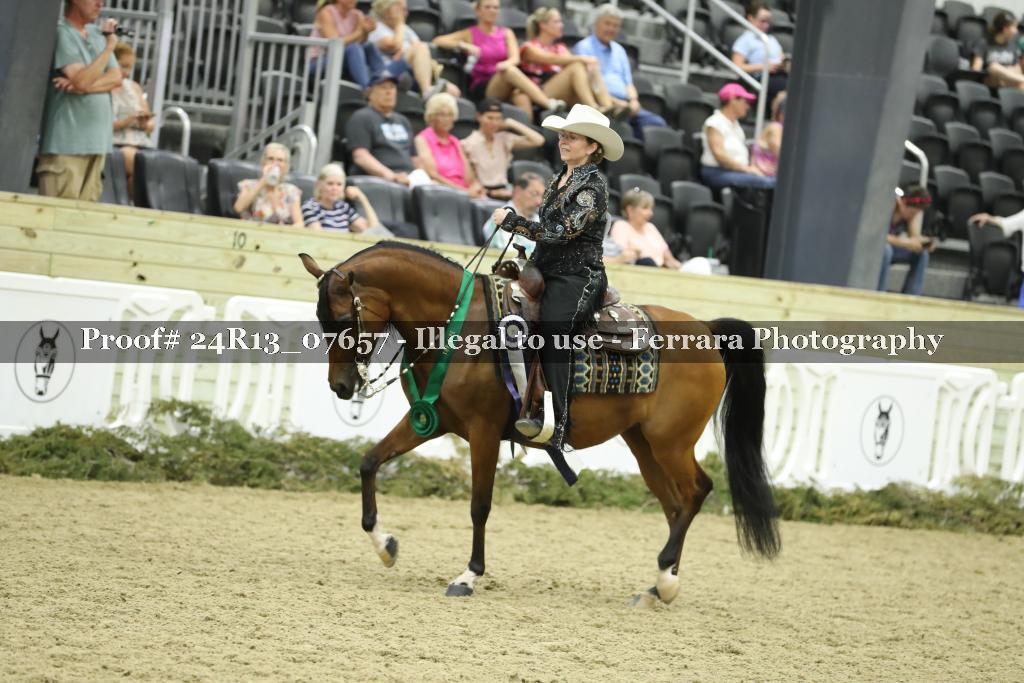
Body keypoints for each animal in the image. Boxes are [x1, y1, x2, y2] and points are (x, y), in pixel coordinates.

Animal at [299, 241, 779, 606]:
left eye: (342, 320)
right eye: (321, 321)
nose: (340, 386)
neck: (458, 323)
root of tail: (708, 329)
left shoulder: (484, 432)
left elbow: (479, 505)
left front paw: (468, 575)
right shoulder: (430, 421)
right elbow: (369, 462)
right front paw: (386, 547)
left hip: (671, 442)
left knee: (697, 492)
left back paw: (665, 577)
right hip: (643, 444)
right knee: (675, 504)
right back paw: (659, 586)